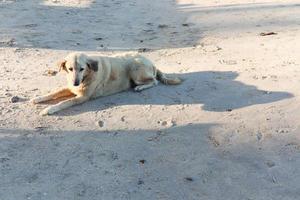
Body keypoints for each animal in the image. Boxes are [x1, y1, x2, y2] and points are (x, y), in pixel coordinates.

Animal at [30, 52, 182, 115]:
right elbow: (53, 93)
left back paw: (140, 87)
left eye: (82, 69)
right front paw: (38, 98)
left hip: (135, 70)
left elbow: (63, 102)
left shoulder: (82, 97)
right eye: (70, 69)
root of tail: (151, 62)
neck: (87, 75)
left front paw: (49, 109)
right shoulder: (71, 88)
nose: (75, 83)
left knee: (154, 81)